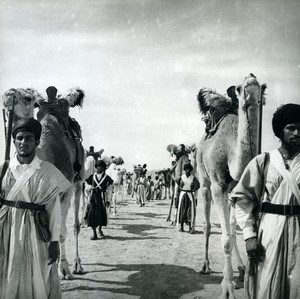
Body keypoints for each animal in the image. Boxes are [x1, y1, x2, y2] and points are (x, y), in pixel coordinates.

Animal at [197, 74, 268, 298]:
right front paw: (227, 287)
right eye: (238, 88)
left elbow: (237, 231)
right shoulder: (217, 186)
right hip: (204, 180)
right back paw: (205, 266)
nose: (251, 96)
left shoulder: (240, 189)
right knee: (207, 225)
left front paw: (241, 274)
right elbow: (226, 239)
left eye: (262, 87)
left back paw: (241, 269)